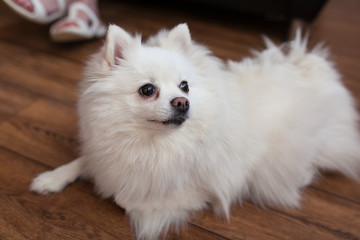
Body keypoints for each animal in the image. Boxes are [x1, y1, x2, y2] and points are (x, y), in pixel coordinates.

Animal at [31, 23, 360, 239]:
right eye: (147, 90)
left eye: (184, 86)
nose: (182, 102)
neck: (151, 142)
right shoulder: (106, 152)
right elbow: (84, 162)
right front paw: (51, 179)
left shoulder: (198, 189)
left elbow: (126, 197)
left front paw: (123, 198)